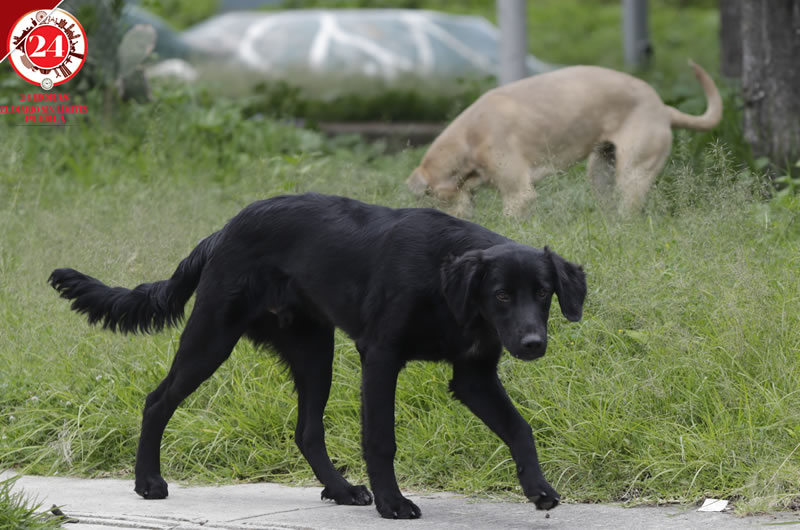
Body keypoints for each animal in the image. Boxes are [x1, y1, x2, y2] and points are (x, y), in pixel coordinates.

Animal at [51, 192, 588, 516]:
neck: (449, 288)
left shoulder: (474, 375)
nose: (533, 344)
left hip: (314, 351)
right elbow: (381, 439)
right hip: (211, 339)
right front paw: (393, 503)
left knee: (306, 431)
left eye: (543, 293)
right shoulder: (381, 358)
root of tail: (223, 230)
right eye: (501, 295)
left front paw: (538, 489)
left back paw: (341, 489)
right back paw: (148, 481)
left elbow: (519, 428)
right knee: (157, 401)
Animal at [410, 62, 720, 217]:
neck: (468, 140)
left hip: (633, 172)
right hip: (600, 171)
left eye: (435, 198)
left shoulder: (518, 194)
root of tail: (663, 108)